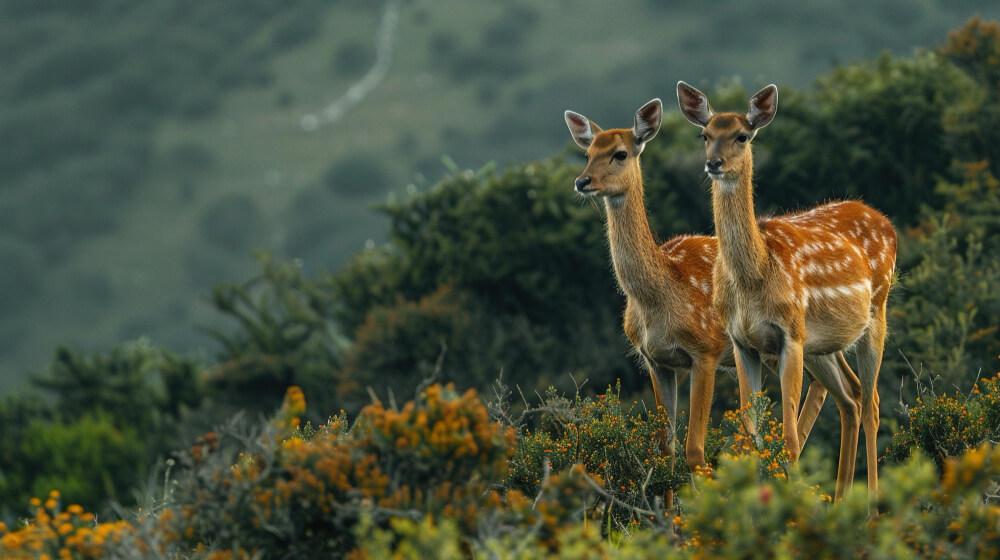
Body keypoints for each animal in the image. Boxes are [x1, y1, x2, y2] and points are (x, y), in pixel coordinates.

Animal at [676, 81, 897, 501]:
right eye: (705, 135)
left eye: (742, 136)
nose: (714, 163)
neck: (755, 277)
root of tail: (886, 221)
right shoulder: (742, 341)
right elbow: (752, 434)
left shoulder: (790, 332)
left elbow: (790, 439)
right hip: (822, 345)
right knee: (852, 397)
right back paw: (841, 501)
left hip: (876, 311)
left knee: (873, 401)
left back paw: (873, 506)